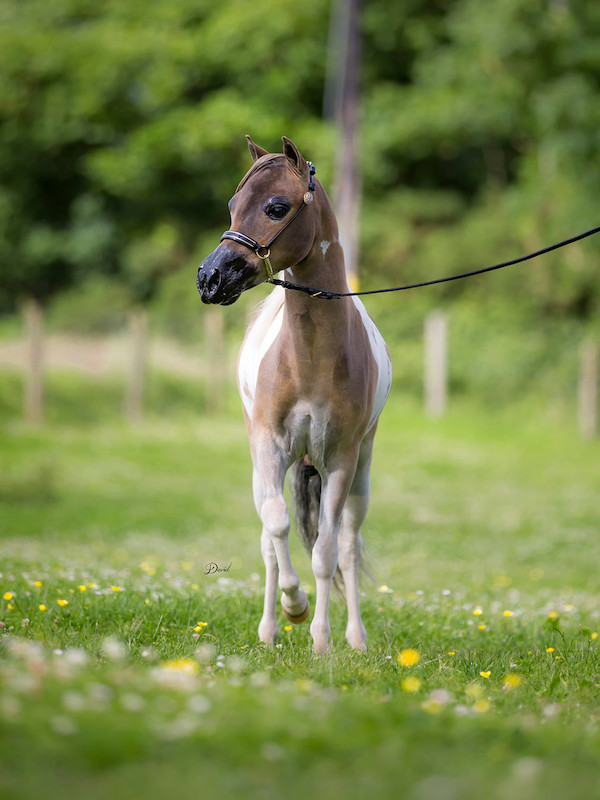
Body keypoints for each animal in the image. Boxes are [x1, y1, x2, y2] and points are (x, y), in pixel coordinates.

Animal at [196, 136, 392, 654]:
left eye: (276, 207)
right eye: (232, 206)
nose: (210, 278)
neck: (309, 362)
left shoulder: (340, 461)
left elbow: (326, 552)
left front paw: (321, 640)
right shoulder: (269, 448)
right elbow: (277, 525)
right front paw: (293, 606)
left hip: (360, 470)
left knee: (347, 543)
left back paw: (355, 638)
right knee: (271, 536)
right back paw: (268, 631)